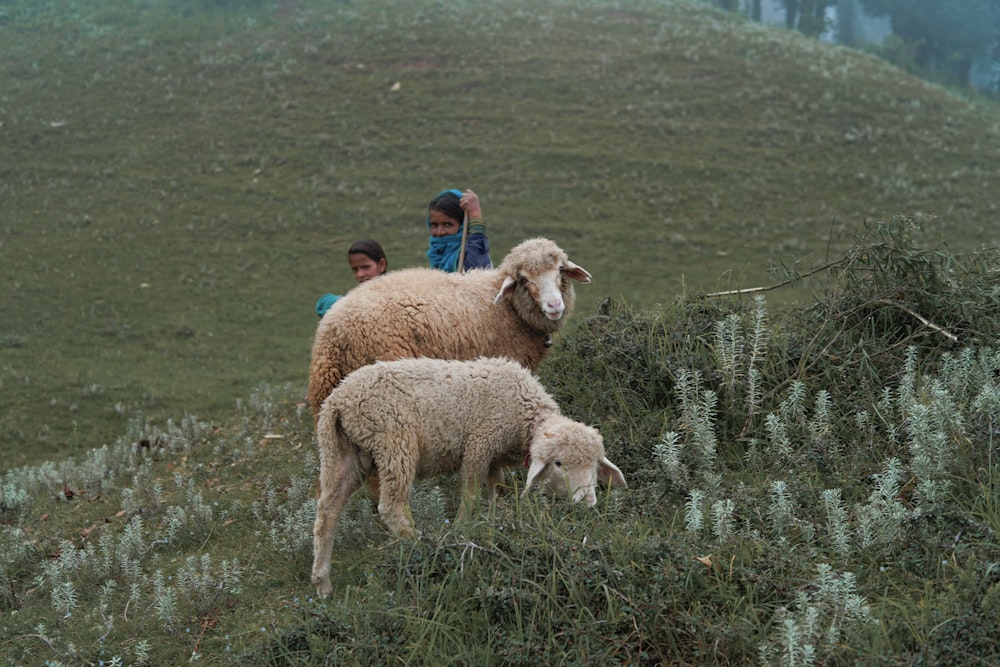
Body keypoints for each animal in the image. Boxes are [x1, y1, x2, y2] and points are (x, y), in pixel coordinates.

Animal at [304, 237, 584, 418]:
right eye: (524, 279)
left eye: (560, 270)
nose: (554, 305)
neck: (507, 307)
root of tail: (336, 332)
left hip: (325, 394)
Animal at [312, 358, 624, 596]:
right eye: (559, 464)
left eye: (594, 464)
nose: (587, 500)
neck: (523, 413)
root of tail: (337, 400)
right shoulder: (479, 444)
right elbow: (471, 497)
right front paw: (463, 532)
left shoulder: (494, 459)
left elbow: (496, 490)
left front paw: (496, 522)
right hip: (393, 439)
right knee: (391, 505)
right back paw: (422, 546)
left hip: (348, 453)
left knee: (327, 511)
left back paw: (323, 583)